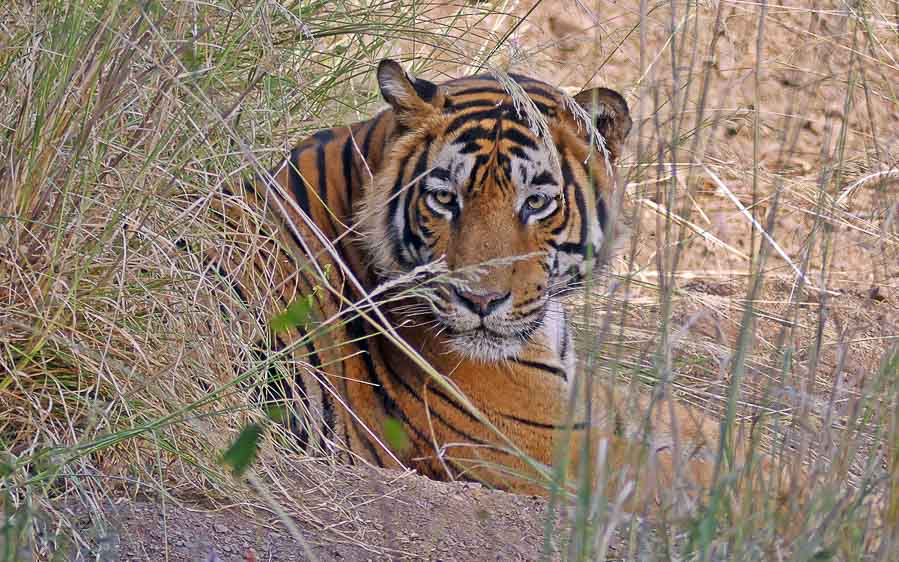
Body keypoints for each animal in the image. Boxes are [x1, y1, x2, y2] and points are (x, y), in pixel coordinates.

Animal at [206, 59, 800, 510]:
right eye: (444, 198)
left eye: (536, 202)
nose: (481, 301)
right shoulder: (541, 443)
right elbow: (704, 480)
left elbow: (707, 431)